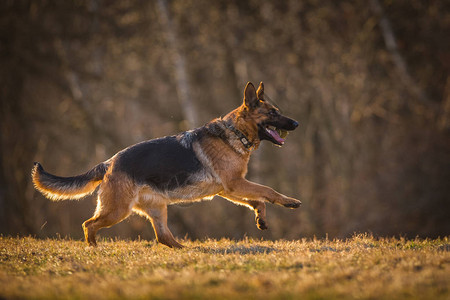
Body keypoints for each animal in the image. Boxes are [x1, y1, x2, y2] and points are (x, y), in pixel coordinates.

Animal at [30, 82, 298, 248]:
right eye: (273, 113)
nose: (296, 123)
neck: (235, 133)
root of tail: (109, 163)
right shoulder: (235, 184)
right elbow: (267, 191)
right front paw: (289, 201)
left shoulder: (228, 189)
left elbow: (258, 200)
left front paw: (261, 219)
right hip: (118, 210)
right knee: (89, 224)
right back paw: (93, 248)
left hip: (156, 209)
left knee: (163, 237)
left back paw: (187, 250)